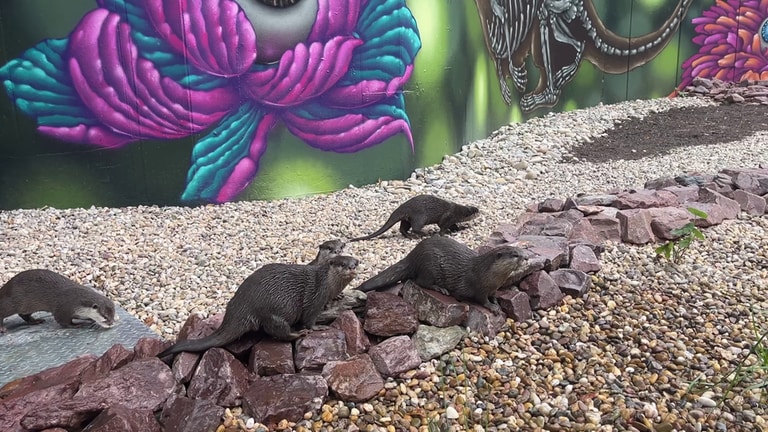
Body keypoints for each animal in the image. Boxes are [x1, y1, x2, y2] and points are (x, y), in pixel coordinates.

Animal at [158, 255, 359, 358]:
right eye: (342, 264)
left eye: (355, 262)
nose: (351, 267)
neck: (328, 284)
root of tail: (240, 308)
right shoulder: (315, 297)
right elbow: (309, 318)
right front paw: (317, 327)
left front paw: (339, 296)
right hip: (275, 311)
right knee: (277, 331)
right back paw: (297, 333)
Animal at [349, 195, 479, 241]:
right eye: (475, 211)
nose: (479, 211)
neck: (458, 211)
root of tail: (404, 206)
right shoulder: (448, 216)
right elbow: (442, 226)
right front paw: (444, 234)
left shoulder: (452, 219)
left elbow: (454, 226)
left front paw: (459, 229)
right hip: (419, 217)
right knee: (415, 228)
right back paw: (423, 233)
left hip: (407, 219)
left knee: (402, 228)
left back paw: (410, 236)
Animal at [356, 237, 527, 313]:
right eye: (515, 255)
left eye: (522, 251)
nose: (526, 257)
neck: (489, 275)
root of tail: (413, 255)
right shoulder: (479, 287)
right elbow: (481, 300)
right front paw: (492, 307)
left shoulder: (493, 288)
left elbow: (493, 295)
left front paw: (496, 302)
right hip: (430, 267)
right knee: (419, 281)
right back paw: (441, 289)